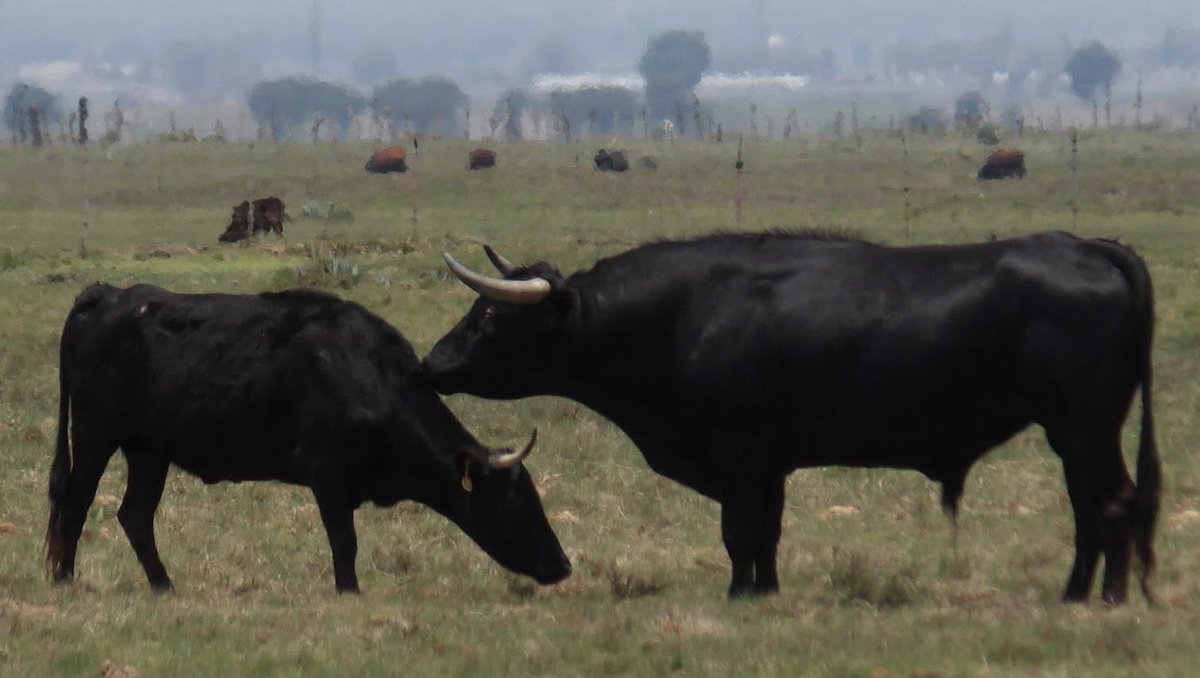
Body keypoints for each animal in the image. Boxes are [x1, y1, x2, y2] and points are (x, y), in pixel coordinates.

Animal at [46, 283, 571, 594]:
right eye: (514, 500)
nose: (562, 564)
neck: (370, 375)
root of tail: (106, 294)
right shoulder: (328, 478)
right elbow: (344, 542)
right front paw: (349, 592)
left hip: (148, 451)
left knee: (134, 515)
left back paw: (164, 587)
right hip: (94, 435)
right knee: (75, 502)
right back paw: (65, 580)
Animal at [423, 231, 1160, 604]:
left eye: (492, 316)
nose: (430, 363)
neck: (685, 313)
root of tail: (1090, 248)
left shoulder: (742, 452)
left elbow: (740, 534)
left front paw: (741, 596)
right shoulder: (767, 464)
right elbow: (765, 535)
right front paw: (766, 592)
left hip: (1083, 430)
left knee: (1110, 505)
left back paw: (1094, 598)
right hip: (1081, 436)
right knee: (1098, 508)